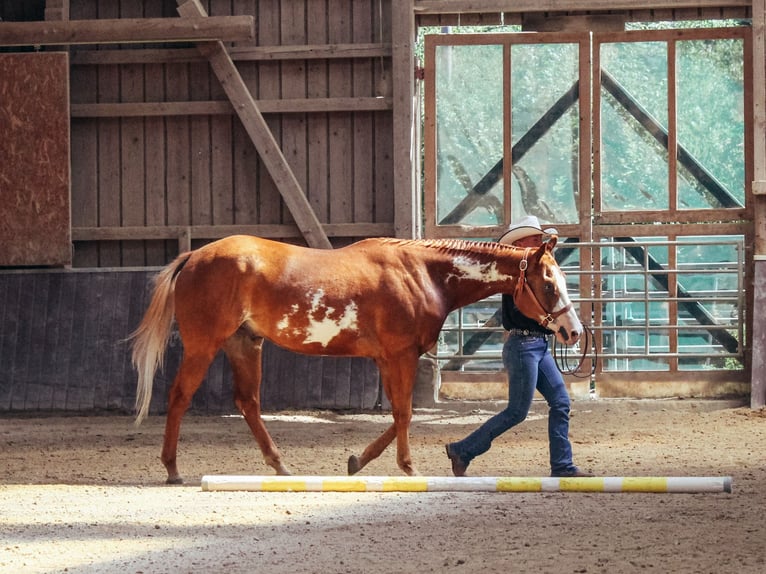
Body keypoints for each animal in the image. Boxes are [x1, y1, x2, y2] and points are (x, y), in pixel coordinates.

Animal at [130, 234, 582, 483]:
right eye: (548, 283)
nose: (572, 332)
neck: (423, 274)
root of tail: (194, 258)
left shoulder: (386, 358)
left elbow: (399, 413)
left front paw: (357, 461)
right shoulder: (400, 355)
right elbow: (405, 412)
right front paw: (409, 468)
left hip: (245, 344)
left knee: (248, 403)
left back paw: (280, 466)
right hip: (205, 345)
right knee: (179, 397)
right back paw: (172, 468)